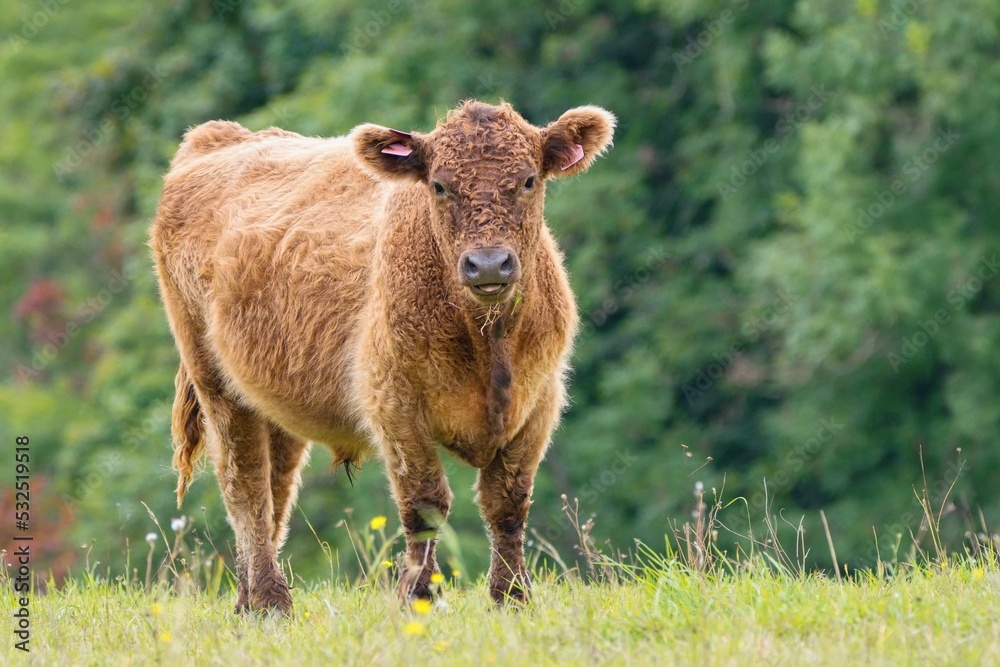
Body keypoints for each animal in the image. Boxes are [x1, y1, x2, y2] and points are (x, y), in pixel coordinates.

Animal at [151, 96, 612, 612]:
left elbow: (507, 503)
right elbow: (426, 504)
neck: (486, 340)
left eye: (530, 179)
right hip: (214, 382)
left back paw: (248, 603)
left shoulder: (538, 402)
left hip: (272, 399)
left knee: (275, 491)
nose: (489, 264)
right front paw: (418, 598)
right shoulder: (394, 403)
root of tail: (219, 137)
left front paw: (511, 598)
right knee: (245, 488)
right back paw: (272, 602)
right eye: (439, 185)